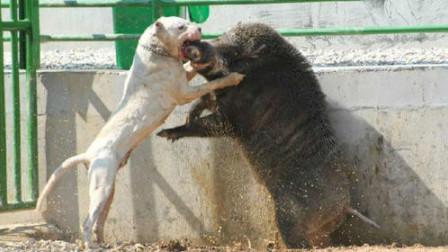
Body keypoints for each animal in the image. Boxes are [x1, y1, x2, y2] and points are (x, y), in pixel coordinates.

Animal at [36, 16, 243, 248]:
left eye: (186, 21)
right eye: (181, 26)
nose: (199, 28)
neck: (155, 50)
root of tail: (89, 155)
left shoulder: (183, 76)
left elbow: (190, 67)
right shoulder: (183, 93)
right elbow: (212, 84)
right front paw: (234, 77)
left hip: (109, 191)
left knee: (99, 219)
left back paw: (103, 242)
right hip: (101, 187)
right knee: (87, 221)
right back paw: (91, 245)